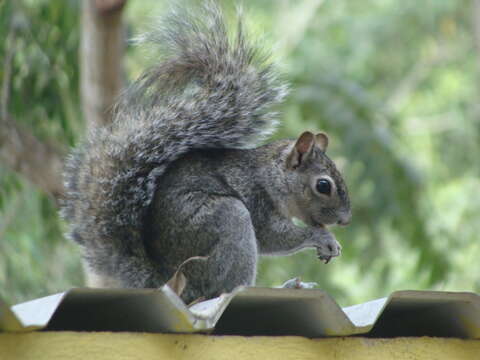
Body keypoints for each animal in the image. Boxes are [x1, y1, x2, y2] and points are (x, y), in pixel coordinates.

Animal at [62, 0, 350, 304]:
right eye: (323, 185)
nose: (344, 220)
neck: (270, 176)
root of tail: (165, 281)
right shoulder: (257, 200)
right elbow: (273, 237)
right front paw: (322, 238)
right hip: (227, 220)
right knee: (221, 289)